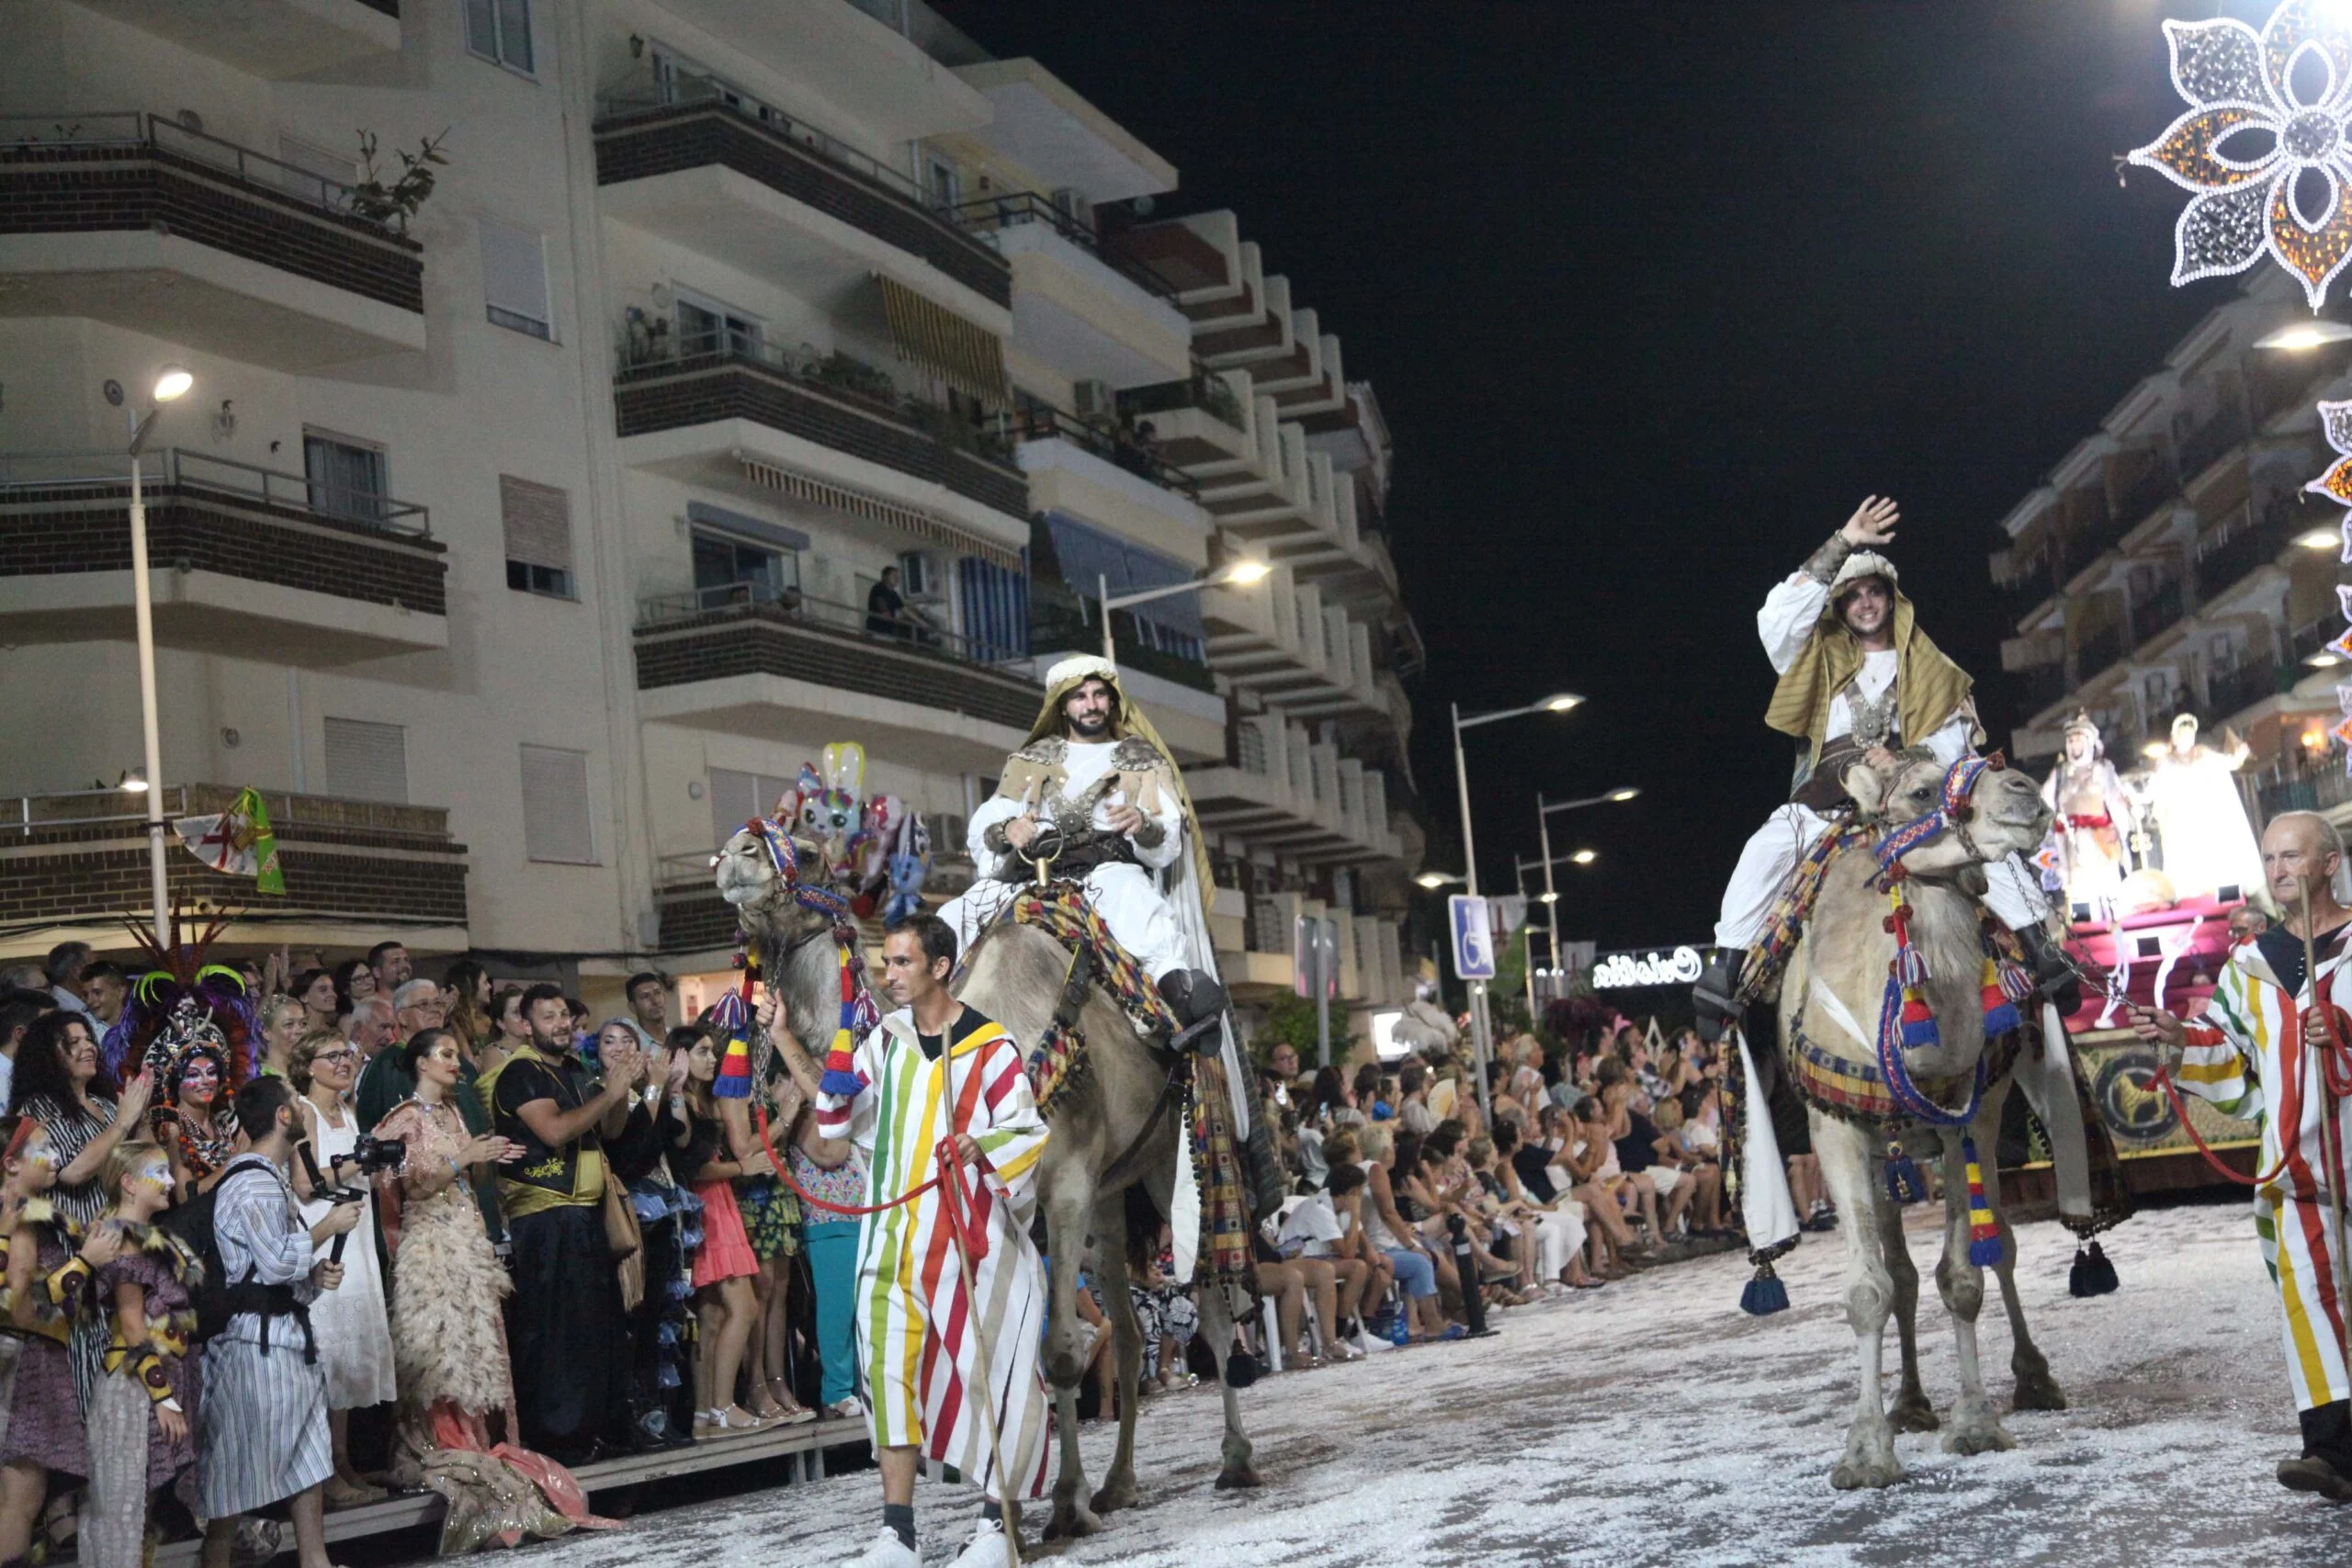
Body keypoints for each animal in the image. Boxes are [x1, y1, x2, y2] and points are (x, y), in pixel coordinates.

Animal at [715, 827, 1261, 1541]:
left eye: (806, 848)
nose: (735, 852)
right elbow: (1001, 1351)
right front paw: (1032, 1501)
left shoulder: (1065, 1189)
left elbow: (1058, 1353)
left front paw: (1064, 1502)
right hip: (1110, 1197)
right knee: (1129, 1330)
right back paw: (1119, 1483)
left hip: (1169, 1152)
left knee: (1214, 1303)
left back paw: (1235, 1460)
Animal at [1769, 751, 2060, 1495]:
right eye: (1924, 792)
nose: (2025, 792)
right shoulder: (1836, 1133)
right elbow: (1870, 1288)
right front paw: (1866, 1451)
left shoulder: (1969, 1121)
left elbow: (1965, 1277)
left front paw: (1978, 1422)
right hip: (1882, 1154)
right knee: (1899, 1272)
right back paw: (1907, 1403)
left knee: (2001, 1248)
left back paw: (2033, 1379)